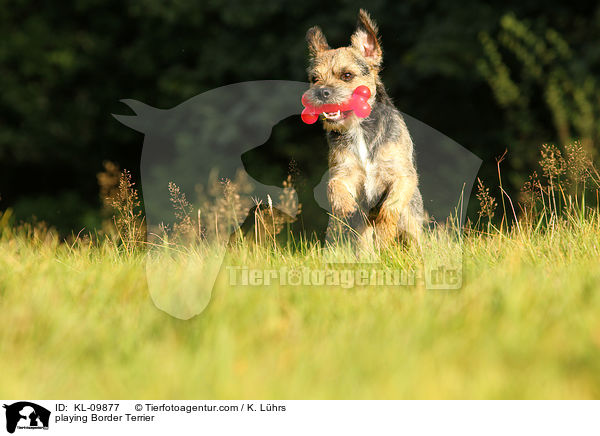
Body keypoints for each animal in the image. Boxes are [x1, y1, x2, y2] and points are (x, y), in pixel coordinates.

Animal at [304, 9, 422, 249]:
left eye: (347, 75)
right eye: (314, 78)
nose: (321, 92)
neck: (359, 129)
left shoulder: (402, 175)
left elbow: (390, 206)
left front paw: (385, 229)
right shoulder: (344, 171)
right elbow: (333, 185)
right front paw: (344, 204)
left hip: (413, 224)